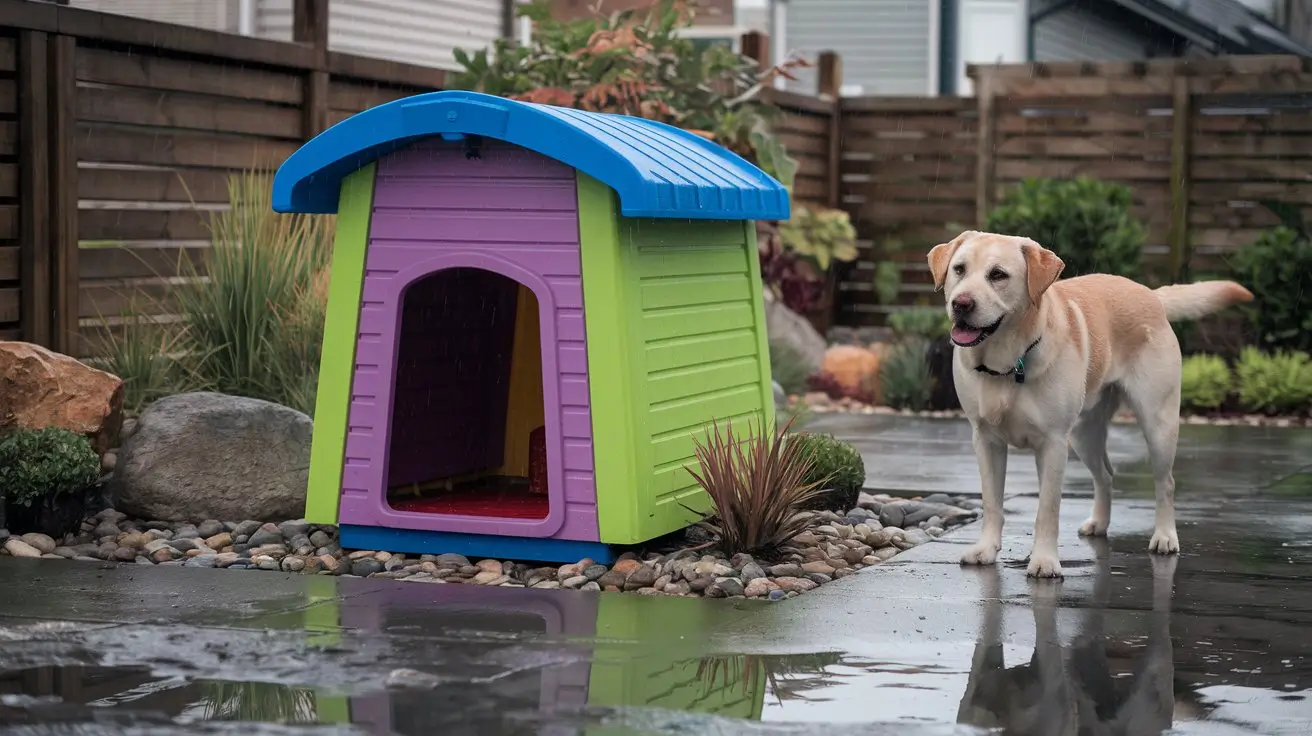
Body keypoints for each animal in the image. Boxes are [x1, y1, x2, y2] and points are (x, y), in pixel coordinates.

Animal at [928, 232, 1254, 577]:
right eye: (959, 269)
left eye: (998, 275)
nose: (961, 304)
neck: (1008, 364)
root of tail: (1151, 295)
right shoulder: (986, 440)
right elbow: (992, 502)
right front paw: (986, 549)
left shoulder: (1053, 443)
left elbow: (1047, 509)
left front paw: (1045, 561)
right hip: (1083, 434)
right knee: (1106, 475)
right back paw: (1099, 522)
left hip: (1158, 424)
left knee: (1165, 482)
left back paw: (1165, 536)